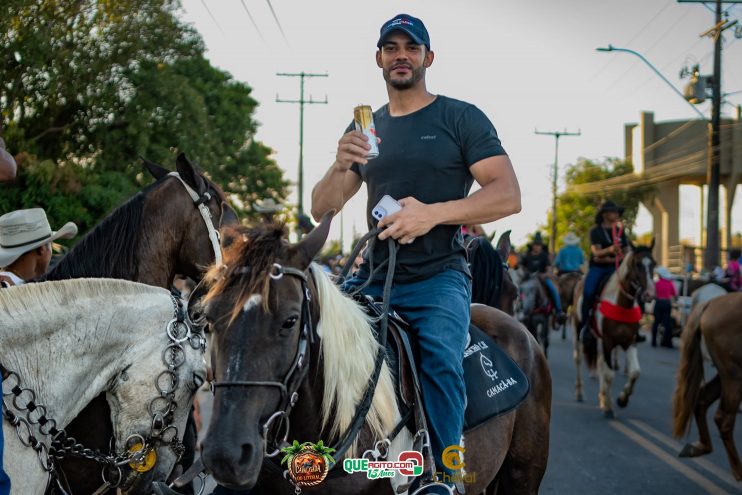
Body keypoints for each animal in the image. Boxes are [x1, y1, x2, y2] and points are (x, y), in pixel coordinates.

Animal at [568, 243, 656, 414]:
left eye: (654, 264)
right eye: (637, 264)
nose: (649, 294)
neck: (621, 303)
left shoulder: (629, 341)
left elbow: (635, 372)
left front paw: (622, 399)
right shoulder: (608, 341)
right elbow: (609, 374)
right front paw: (609, 405)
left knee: (600, 362)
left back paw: (602, 395)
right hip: (577, 329)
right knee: (578, 359)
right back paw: (580, 392)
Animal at [676, 292, 742, 482]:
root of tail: (711, 303)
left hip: (726, 375)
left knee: (701, 400)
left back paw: (699, 446)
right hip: (734, 375)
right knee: (724, 419)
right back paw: (739, 472)